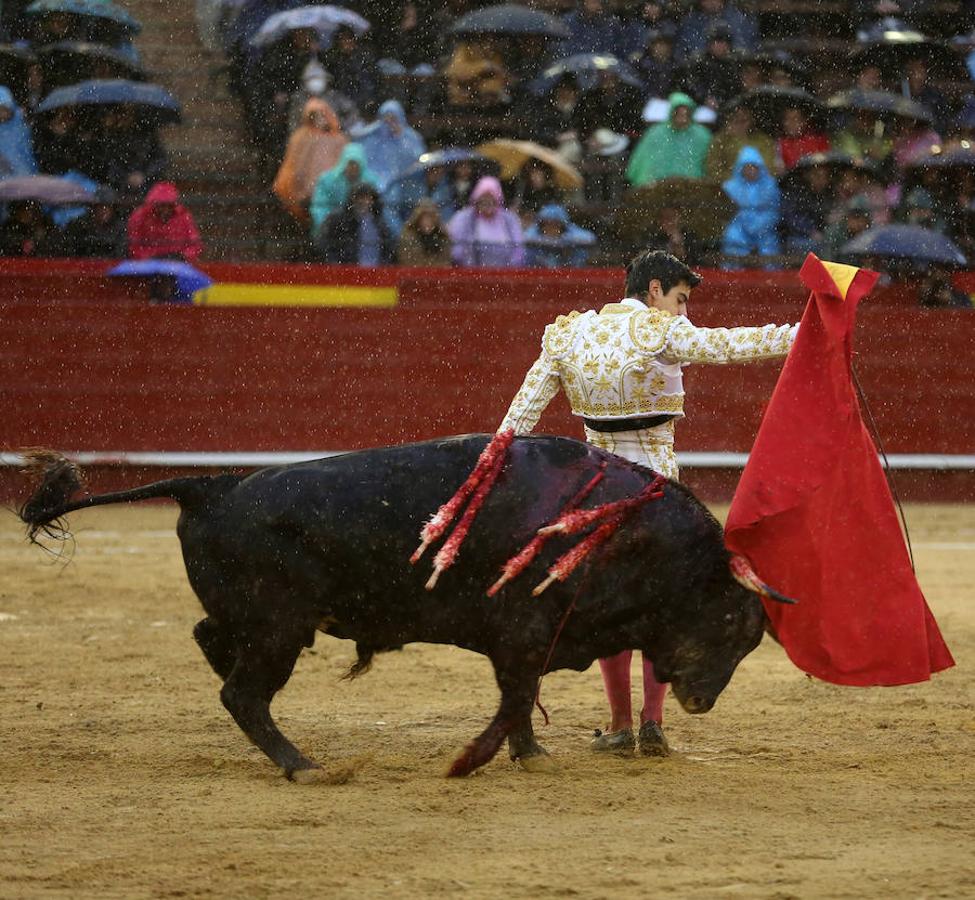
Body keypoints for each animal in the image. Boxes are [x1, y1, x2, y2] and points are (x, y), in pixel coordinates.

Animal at [19, 436, 772, 780]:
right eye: (733, 622)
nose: (702, 700)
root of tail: (213, 485)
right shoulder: (521, 633)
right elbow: (513, 698)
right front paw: (471, 760)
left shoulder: (535, 639)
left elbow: (521, 702)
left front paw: (530, 755)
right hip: (278, 628)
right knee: (243, 693)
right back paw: (303, 765)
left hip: (258, 623)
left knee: (210, 640)